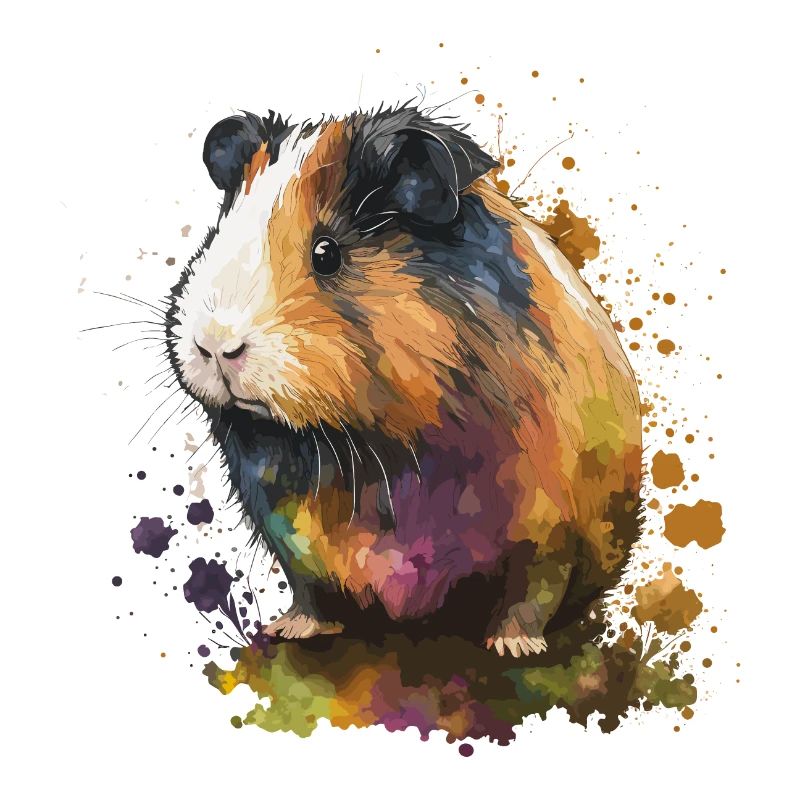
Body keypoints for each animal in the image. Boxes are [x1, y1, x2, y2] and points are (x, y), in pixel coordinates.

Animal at [165, 105, 642, 657]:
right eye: (213, 235)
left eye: (327, 253)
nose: (215, 345)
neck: (363, 449)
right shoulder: (287, 536)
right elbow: (308, 591)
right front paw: (291, 629)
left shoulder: (551, 529)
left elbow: (531, 591)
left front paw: (513, 646)